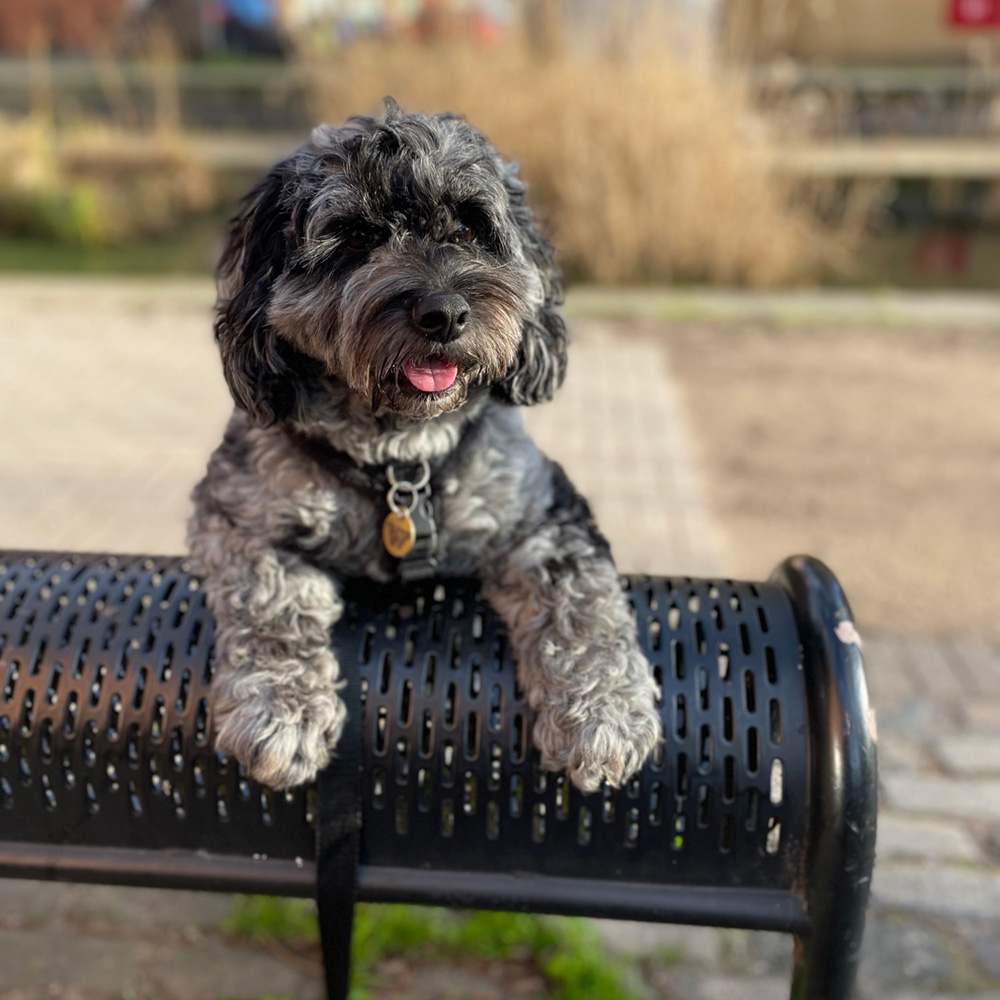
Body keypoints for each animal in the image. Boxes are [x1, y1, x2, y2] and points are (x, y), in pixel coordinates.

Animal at [188, 99, 664, 788]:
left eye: (467, 227)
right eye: (356, 237)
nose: (444, 313)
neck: (401, 460)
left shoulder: (542, 512)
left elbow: (582, 600)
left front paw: (605, 712)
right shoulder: (236, 511)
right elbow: (271, 598)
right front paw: (281, 709)